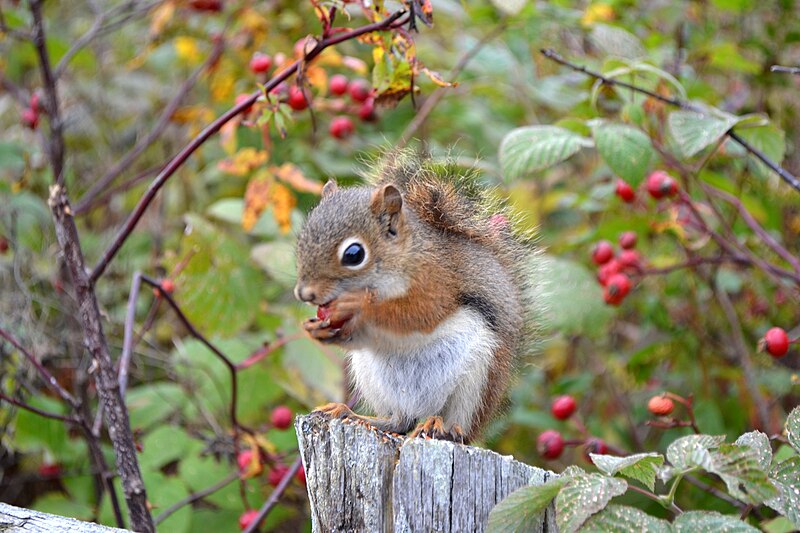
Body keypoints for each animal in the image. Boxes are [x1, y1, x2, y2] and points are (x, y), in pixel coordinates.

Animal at [294, 152, 536, 442]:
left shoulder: (437, 281)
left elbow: (415, 314)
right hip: (373, 380)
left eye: (354, 254)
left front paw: (359, 308)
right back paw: (351, 414)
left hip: (478, 379)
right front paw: (315, 329)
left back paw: (441, 427)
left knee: (458, 427)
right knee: (400, 422)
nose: (304, 293)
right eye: (302, 239)